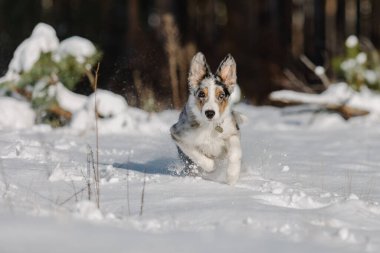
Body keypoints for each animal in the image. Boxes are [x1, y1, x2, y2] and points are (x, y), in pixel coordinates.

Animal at [170, 52, 242, 186]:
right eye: (202, 94)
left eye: (221, 95)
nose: (210, 113)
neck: (210, 126)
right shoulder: (178, 134)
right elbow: (196, 154)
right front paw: (211, 167)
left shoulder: (232, 131)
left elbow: (235, 152)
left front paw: (232, 177)